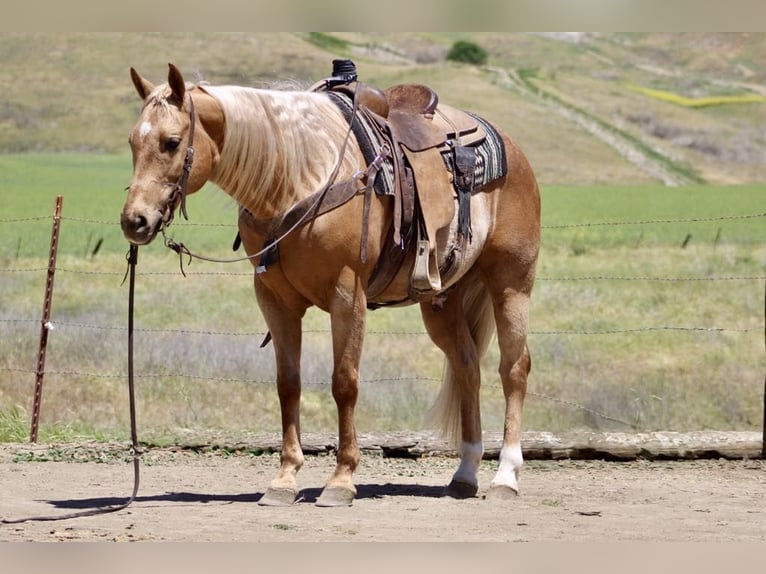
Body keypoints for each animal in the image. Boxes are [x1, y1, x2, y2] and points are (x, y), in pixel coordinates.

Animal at [121, 62, 541, 507]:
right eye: (132, 141)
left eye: (171, 142)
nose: (134, 221)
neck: (297, 178)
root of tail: (512, 148)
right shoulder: (275, 300)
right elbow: (288, 384)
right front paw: (284, 480)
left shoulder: (347, 295)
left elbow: (344, 383)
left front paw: (341, 480)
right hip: (442, 300)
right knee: (467, 368)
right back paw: (465, 473)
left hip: (512, 284)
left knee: (514, 369)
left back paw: (505, 476)